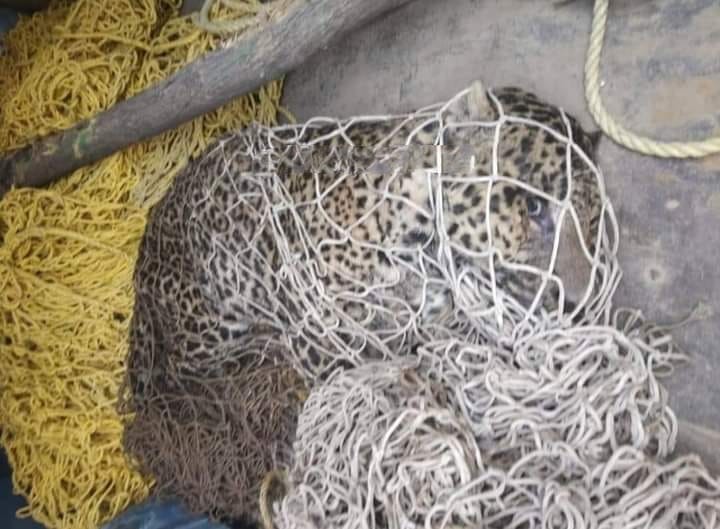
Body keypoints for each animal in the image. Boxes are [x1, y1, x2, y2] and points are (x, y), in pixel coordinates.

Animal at [127, 81, 603, 386]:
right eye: (534, 207)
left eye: (594, 222)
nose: (579, 305)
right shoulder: (324, 343)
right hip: (210, 317)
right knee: (185, 367)